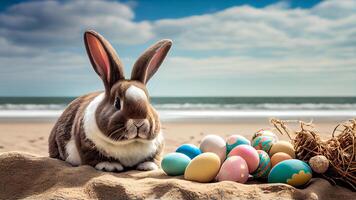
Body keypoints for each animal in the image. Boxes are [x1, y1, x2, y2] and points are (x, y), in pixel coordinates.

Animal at [48, 29, 172, 172]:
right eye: (117, 103)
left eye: (149, 101)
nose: (139, 122)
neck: (130, 142)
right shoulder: (87, 145)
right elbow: (95, 157)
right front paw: (109, 166)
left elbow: (153, 158)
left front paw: (148, 166)